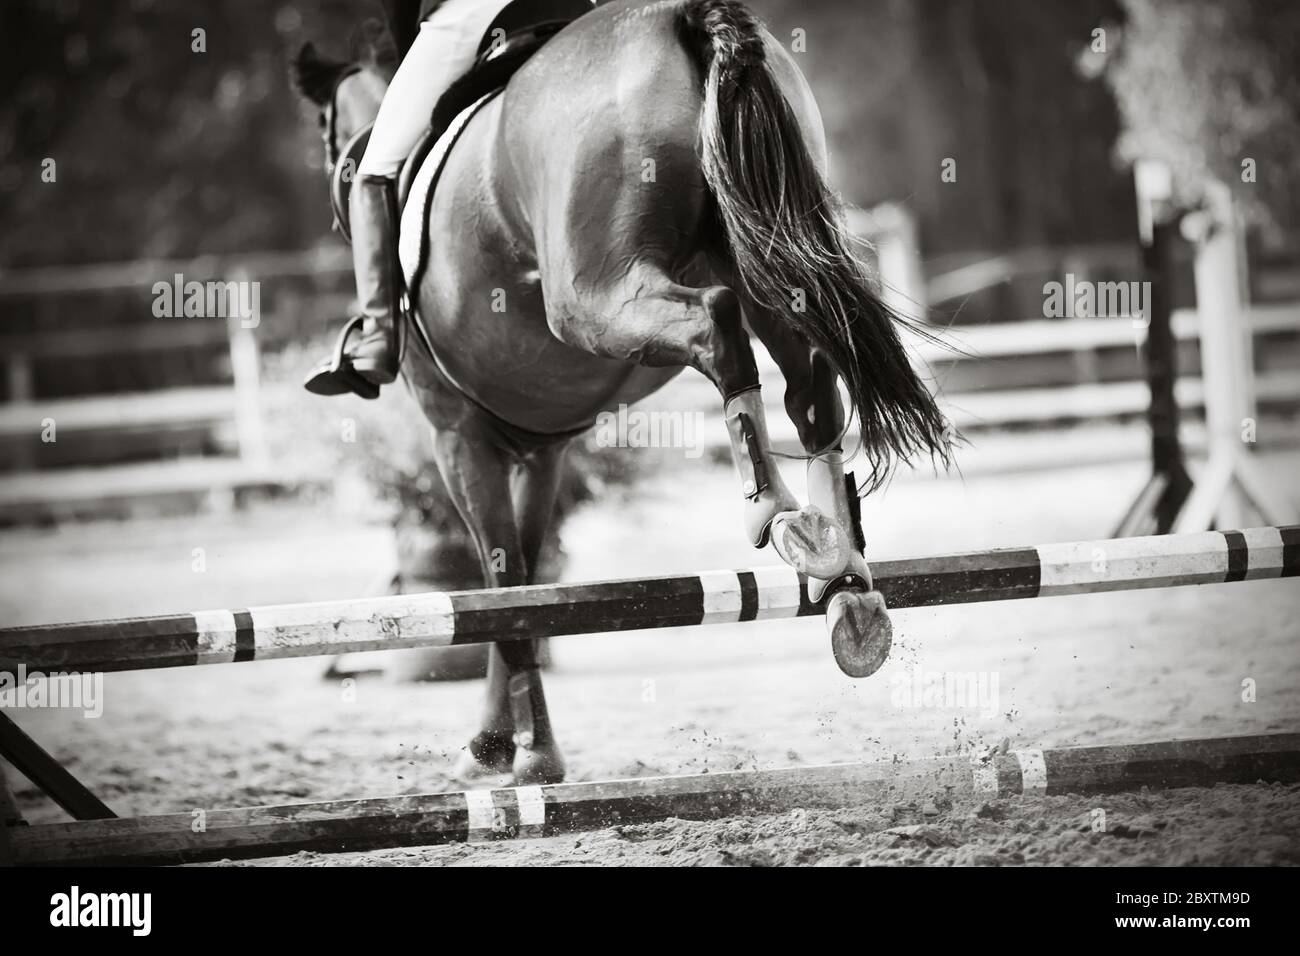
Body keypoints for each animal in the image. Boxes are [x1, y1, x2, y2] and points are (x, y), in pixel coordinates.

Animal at [292, 0, 946, 785]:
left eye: (329, 139)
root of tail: (683, 17)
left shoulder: (459, 438)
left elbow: (501, 584)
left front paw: (507, 752)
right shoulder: (539, 451)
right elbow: (527, 582)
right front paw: (516, 746)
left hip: (595, 298)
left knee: (716, 324)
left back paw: (772, 511)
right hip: (764, 254)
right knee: (810, 375)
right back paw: (841, 572)